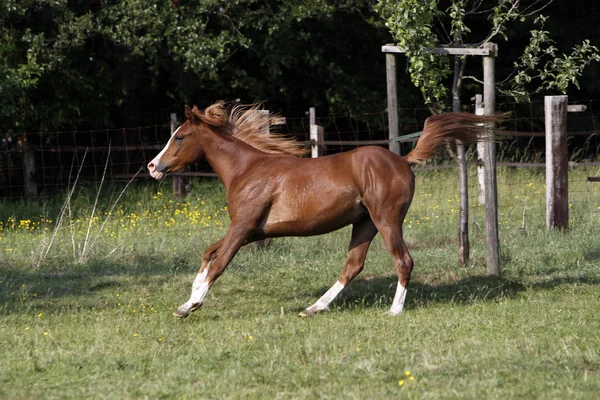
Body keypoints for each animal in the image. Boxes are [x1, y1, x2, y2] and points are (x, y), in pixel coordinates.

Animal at [148, 102, 500, 318]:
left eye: (179, 137)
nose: (153, 166)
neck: (246, 169)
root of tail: (403, 160)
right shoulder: (252, 231)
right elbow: (209, 252)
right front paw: (187, 300)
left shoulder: (243, 227)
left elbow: (219, 263)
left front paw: (192, 304)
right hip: (364, 224)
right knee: (353, 266)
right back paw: (313, 308)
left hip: (386, 219)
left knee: (403, 260)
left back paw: (393, 310)